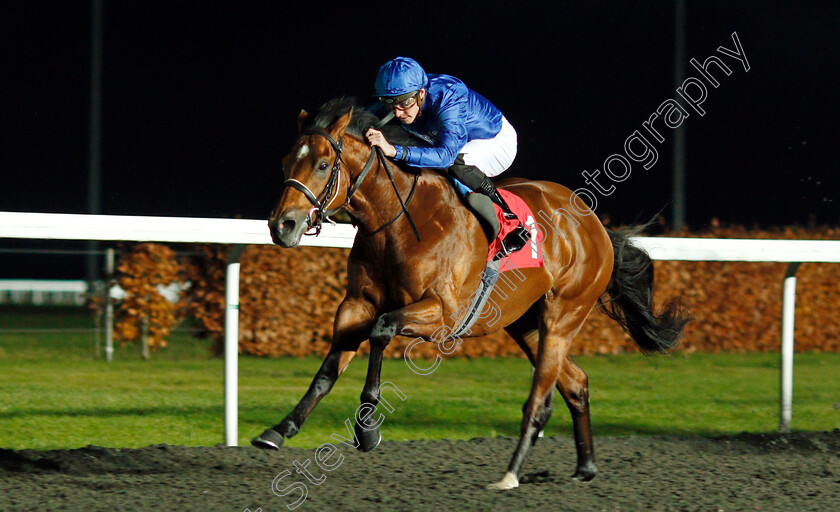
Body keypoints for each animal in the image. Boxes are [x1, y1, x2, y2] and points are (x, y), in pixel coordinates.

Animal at [258, 98, 688, 490]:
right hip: (524, 324)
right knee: (576, 382)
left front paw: (367, 430)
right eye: (284, 162)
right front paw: (281, 428)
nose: (282, 225)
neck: (399, 223)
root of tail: (595, 224)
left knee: (540, 399)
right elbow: (330, 367)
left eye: (322, 165)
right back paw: (585, 467)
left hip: (562, 316)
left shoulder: (442, 315)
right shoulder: (356, 305)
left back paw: (511, 474)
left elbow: (381, 330)